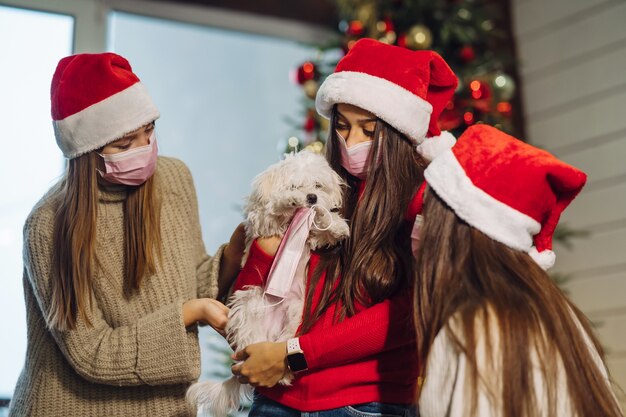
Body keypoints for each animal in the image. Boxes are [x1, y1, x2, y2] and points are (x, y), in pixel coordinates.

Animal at [185, 150, 352, 416]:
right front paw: (289, 201)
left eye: (318, 186)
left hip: (293, 315)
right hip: (247, 308)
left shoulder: (312, 238)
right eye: (295, 185)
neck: (295, 223)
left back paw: (283, 374)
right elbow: (273, 212)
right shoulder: (262, 223)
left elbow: (322, 230)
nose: (312, 197)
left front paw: (334, 223)